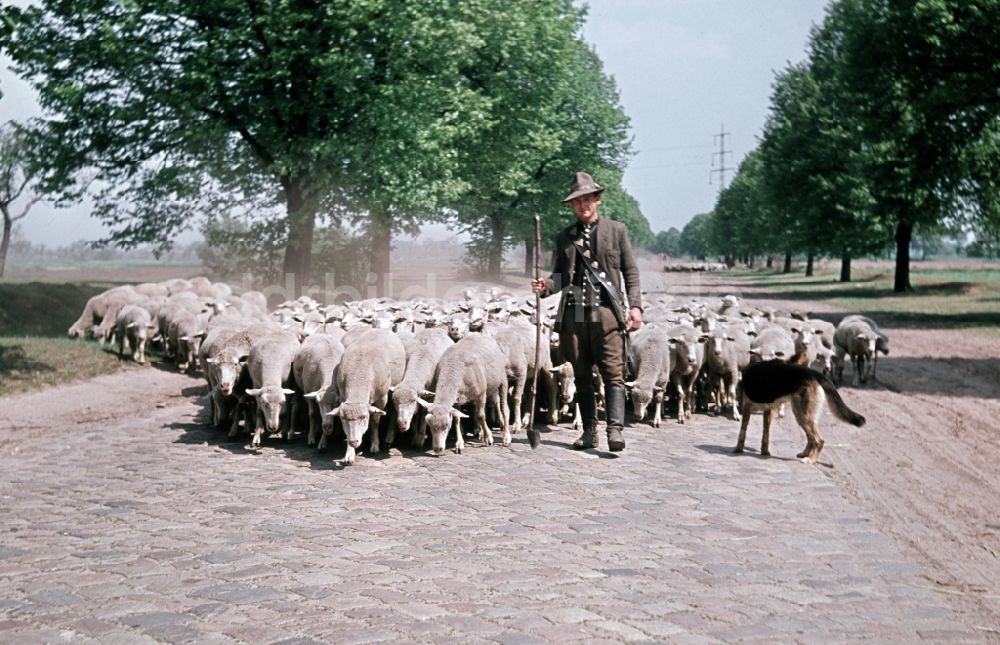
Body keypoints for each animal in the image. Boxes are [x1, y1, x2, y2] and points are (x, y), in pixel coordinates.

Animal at [736, 360, 868, 460]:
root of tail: (815, 374)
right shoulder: (767, 412)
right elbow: (765, 435)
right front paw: (764, 451)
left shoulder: (747, 408)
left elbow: (742, 431)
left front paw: (738, 448)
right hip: (800, 414)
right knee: (811, 439)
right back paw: (805, 454)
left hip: (804, 415)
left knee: (819, 440)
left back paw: (810, 460)